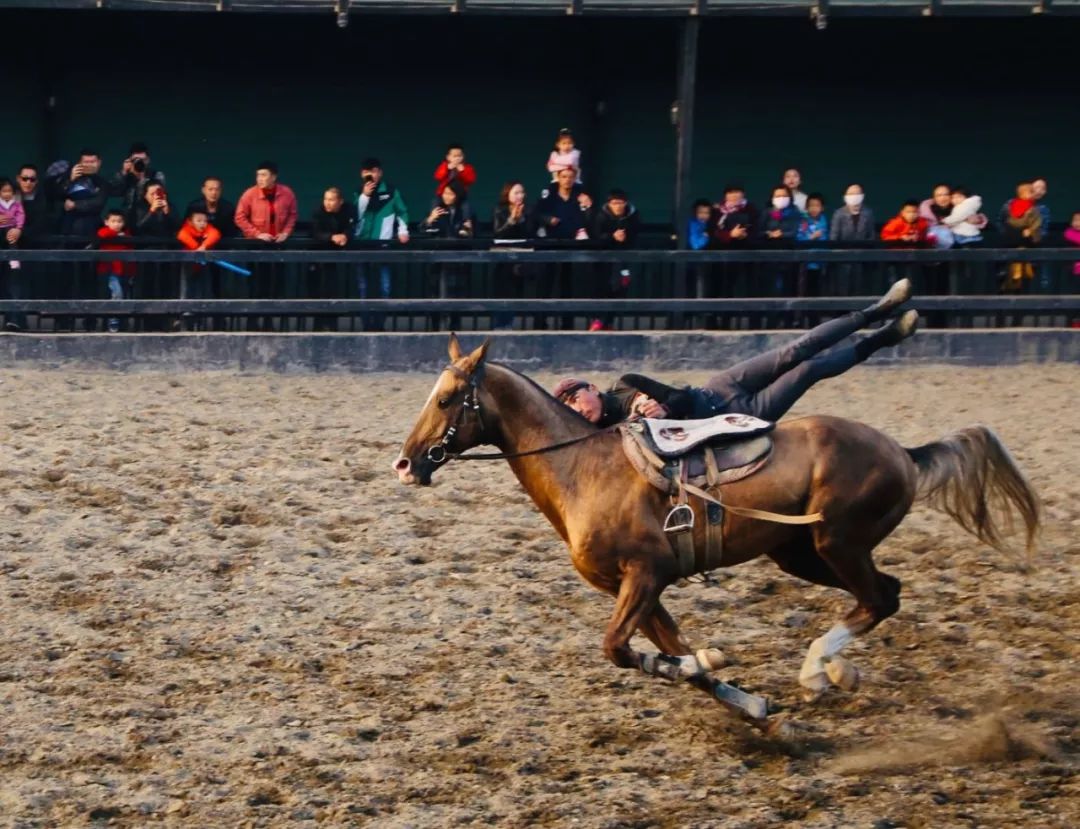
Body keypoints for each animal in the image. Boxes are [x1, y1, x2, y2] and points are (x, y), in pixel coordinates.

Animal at [393, 336, 1041, 725]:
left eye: (447, 399)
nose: (405, 463)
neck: (583, 467)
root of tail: (903, 452)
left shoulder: (646, 574)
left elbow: (621, 649)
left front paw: (711, 662)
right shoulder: (633, 589)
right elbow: (670, 654)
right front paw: (744, 699)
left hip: (837, 541)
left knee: (879, 597)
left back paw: (818, 668)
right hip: (801, 554)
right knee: (886, 594)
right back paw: (835, 669)